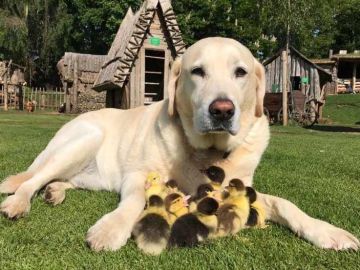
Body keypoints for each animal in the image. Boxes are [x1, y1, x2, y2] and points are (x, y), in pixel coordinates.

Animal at [1, 37, 358, 251]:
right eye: (197, 71)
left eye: (240, 72)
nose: (222, 110)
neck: (209, 152)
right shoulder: (137, 174)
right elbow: (133, 201)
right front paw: (111, 228)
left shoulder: (243, 188)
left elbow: (287, 204)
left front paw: (328, 232)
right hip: (85, 139)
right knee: (32, 179)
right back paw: (19, 203)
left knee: (61, 180)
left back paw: (55, 191)